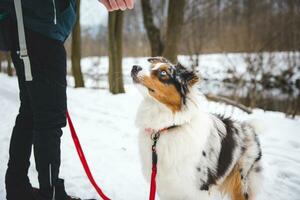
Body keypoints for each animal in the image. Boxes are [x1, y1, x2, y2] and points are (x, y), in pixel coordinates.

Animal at [131, 56, 262, 200]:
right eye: (151, 64)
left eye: (163, 73)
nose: (134, 67)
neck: (169, 126)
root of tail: (249, 128)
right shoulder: (168, 187)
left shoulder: (200, 189)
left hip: (241, 183)